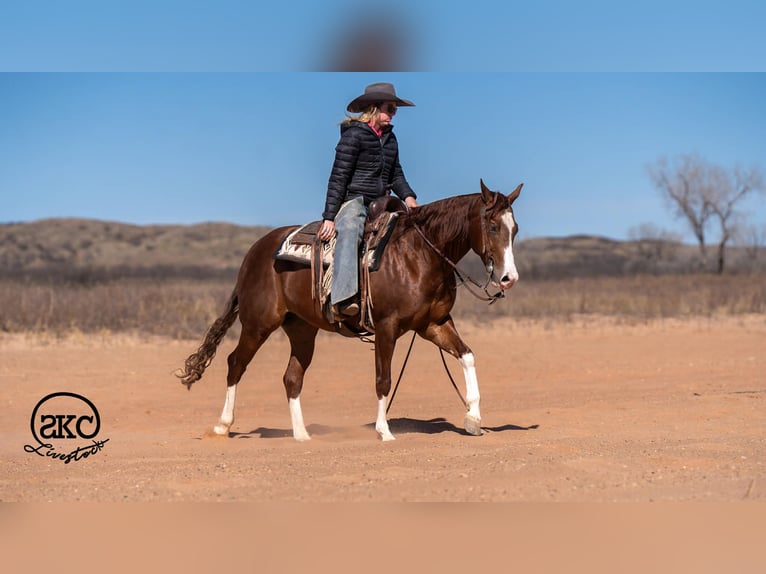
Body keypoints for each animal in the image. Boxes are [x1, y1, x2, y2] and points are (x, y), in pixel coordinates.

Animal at [177, 179, 522, 441]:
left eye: (515, 229)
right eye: (492, 226)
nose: (509, 278)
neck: (418, 254)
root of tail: (254, 252)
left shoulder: (433, 324)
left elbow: (467, 356)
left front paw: (473, 419)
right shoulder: (386, 326)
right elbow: (383, 378)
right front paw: (384, 431)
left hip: (302, 329)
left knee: (292, 378)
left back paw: (301, 434)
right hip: (258, 324)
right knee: (236, 363)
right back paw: (223, 426)